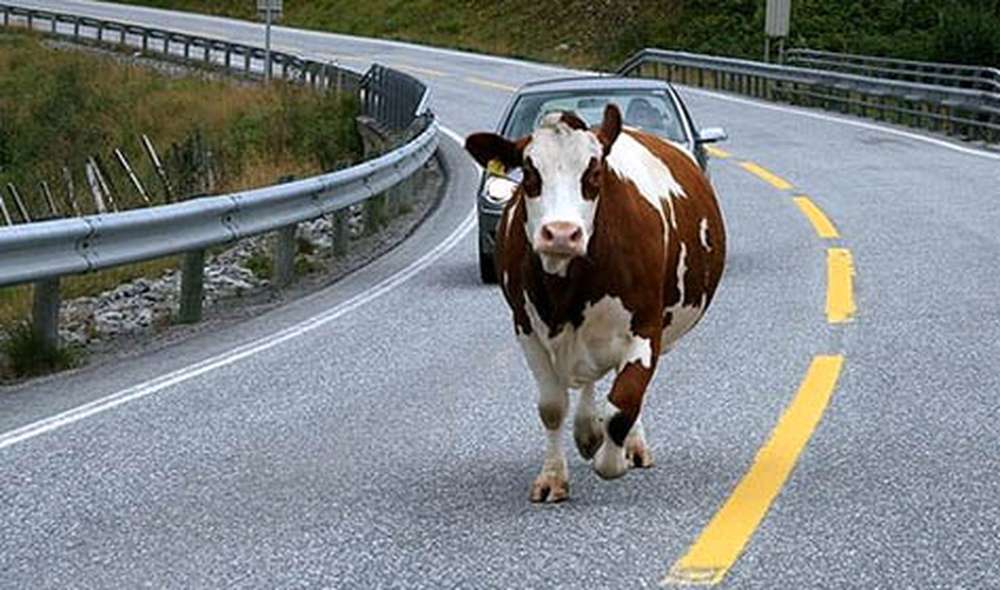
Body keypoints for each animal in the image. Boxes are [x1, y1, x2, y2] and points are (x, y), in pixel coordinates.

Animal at [465, 104, 726, 502]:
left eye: (593, 172)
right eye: (529, 172)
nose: (561, 233)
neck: (567, 288)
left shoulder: (646, 328)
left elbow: (623, 403)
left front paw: (612, 460)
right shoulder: (526, 329)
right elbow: (552, 407)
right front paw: (553, 477)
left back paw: (625, 444)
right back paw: (587, 431)